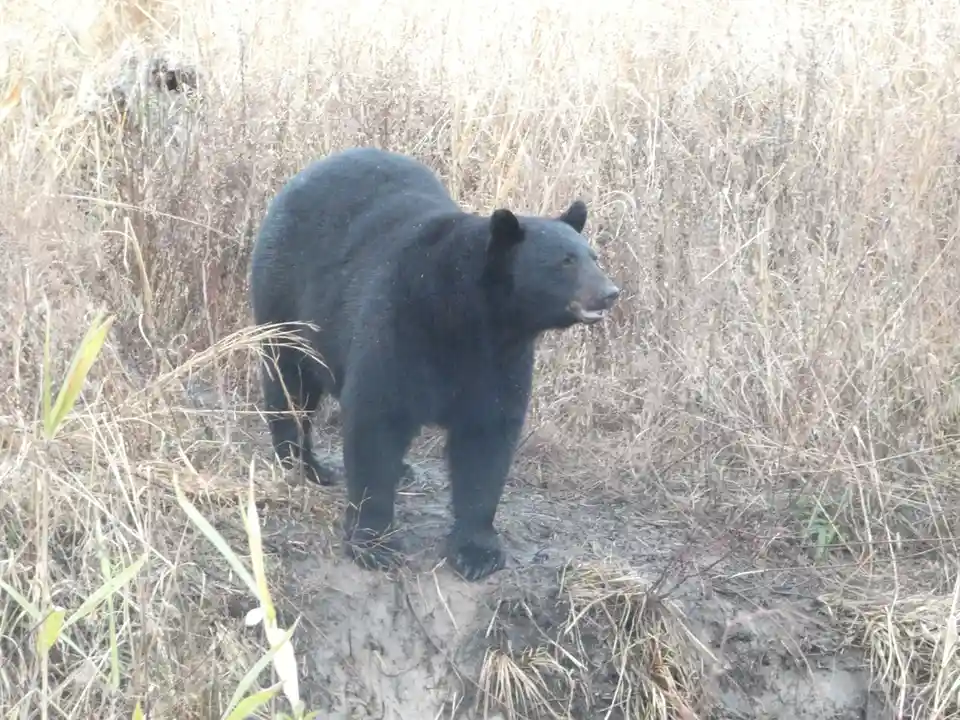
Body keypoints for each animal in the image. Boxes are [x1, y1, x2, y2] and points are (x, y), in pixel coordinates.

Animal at [249, 146, 620, 581]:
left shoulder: (500, 361)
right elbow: (376, 418)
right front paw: (374, 543)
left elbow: (487, 438)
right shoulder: (401, 322)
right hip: (287, 295)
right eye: (565, 261)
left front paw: (477, 551)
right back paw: (303, 463)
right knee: (289, 380)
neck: (471, 316)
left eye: (593, 256)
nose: (610, 292)